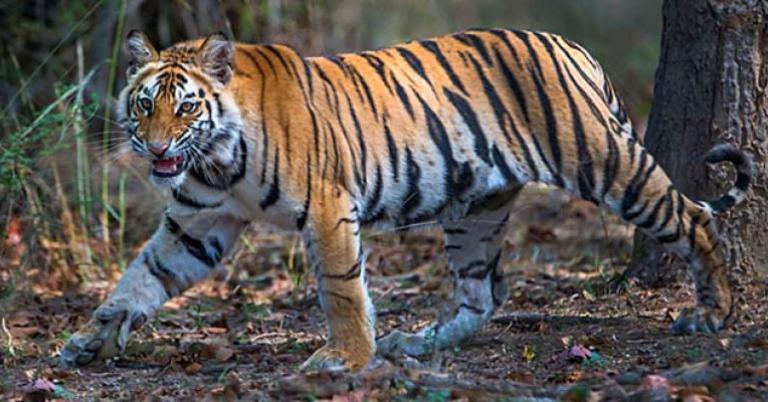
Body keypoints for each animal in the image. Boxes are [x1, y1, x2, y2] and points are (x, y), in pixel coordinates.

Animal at [59, 28, 752, 370]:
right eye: (143, 104)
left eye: (185, 106)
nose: (153, 148)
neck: (219, 159)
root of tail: (574, 46)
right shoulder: (198, 222)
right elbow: (139, 279)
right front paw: (88, 342)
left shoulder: (328, 205)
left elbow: (341, 289)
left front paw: (344, 358)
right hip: (477, 209)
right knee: (482, 294)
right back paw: (415, 344)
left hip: (604, 161)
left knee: (691, 217)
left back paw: (712, 313)